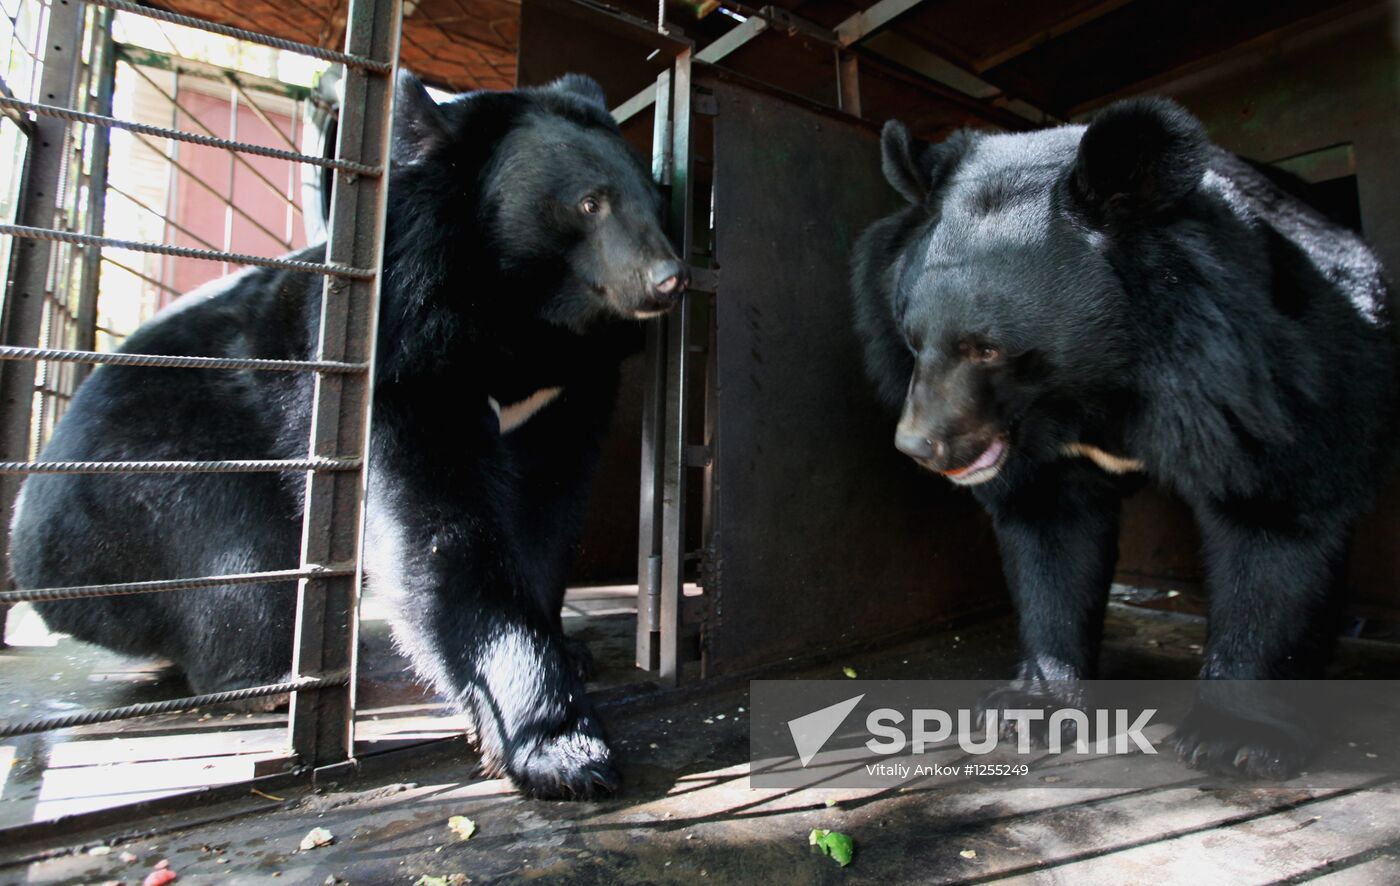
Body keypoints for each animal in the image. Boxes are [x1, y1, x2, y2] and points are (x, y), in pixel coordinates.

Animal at [8, 72, 686, 800]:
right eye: (590, 202)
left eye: (657, 199)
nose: (669, 280)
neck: (521, 319)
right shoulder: (405, 356)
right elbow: (436, 527)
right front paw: (561, 748)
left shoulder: (569, 390)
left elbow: (547, 511)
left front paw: (570, 653)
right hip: (151, 484)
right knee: (244, 568)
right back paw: (279, 678)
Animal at [851, 95, 1400, 772]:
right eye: (910, 336)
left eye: (988, 348)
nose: (920, 446)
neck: (1099, 386)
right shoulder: (1046, 455)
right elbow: (1051, 535)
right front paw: (1029, 708)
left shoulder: (1269, 375)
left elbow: (1275, 515)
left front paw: (1235, 737)